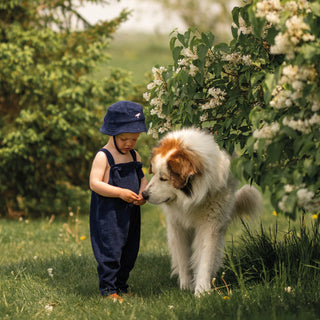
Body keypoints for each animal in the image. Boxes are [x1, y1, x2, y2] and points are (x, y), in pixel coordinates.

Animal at [142, 127, 262, 296]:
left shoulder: (210, 224)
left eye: (163, 178)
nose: (144, 194)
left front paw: (202, 290)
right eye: (153, 174)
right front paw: (185, 286)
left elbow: (206, 256)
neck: (193, 197)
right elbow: (183, 257)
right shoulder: (177, 225)